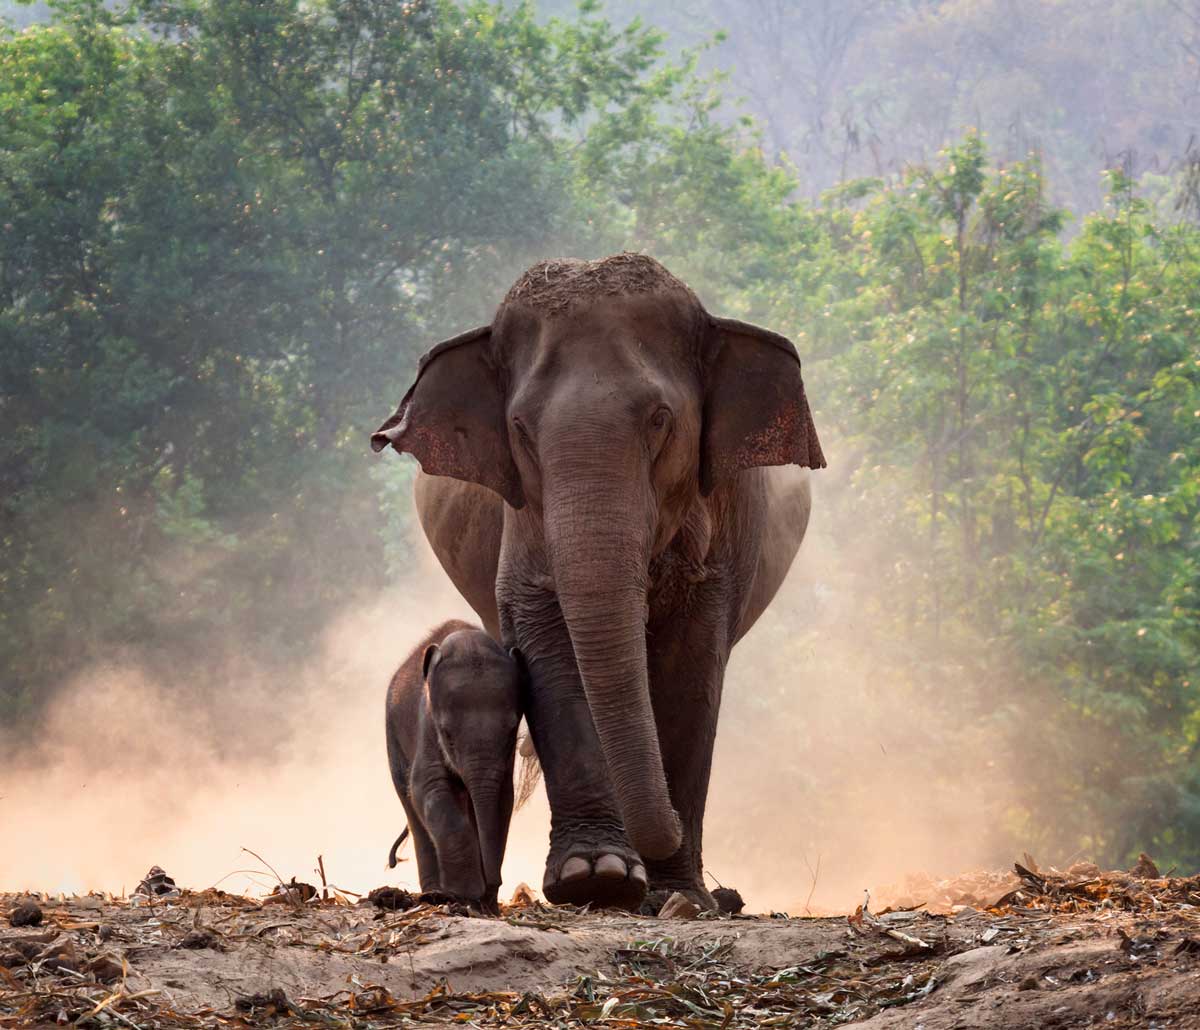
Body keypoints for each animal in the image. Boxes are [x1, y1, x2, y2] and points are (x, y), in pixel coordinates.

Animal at [385, 619, 524, 913]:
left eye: (511, 733)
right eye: (447, 734)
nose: (493, 884)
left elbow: (503, 801)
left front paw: (482, 902)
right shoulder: (426, 728)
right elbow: (427, 789)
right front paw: (466, 893)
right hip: (392, 737)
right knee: (410, 805)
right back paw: (434, 893)